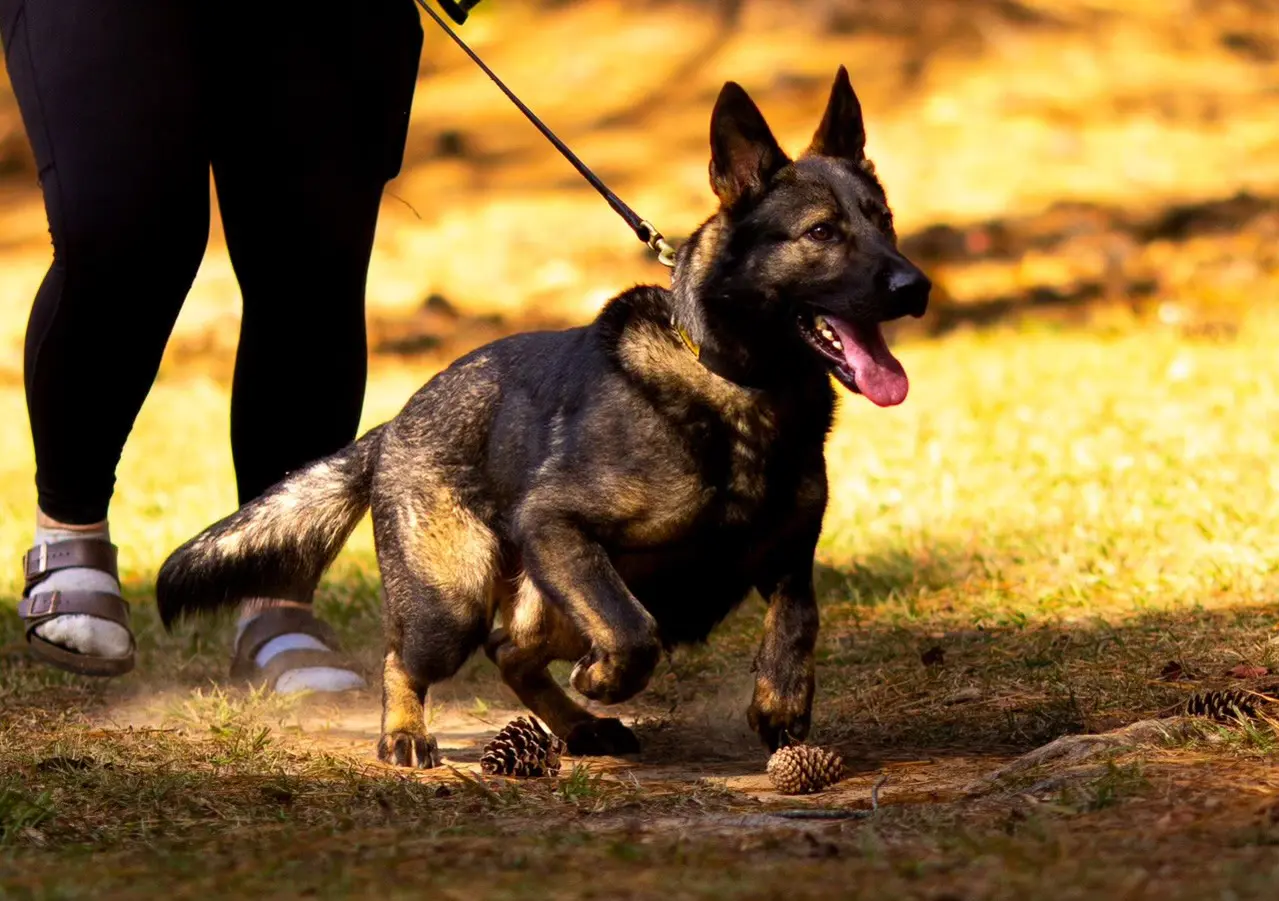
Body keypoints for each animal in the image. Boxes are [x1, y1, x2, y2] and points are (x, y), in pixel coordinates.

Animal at [157, 66, 931, 762]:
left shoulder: (787, 557)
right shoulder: (558, 526)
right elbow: (633, 630)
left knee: (510, 652)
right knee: (408, 658)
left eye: (885, 221)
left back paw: (580, 726)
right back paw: (408, 733)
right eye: (822, 232)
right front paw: (608, 678)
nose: (916, 286)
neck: (731, 382)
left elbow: (799, 620)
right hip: (453, 601)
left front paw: (779, 703)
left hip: (537, 604)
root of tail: (392, 426)